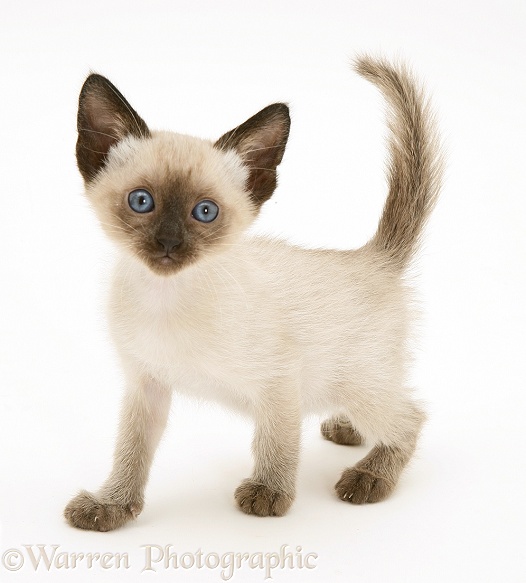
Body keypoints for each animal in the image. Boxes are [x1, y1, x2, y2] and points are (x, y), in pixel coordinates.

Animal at [64, 57, 444, 532]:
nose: (169, 243)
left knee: (410, 418)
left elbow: (276, 441)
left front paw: (269, 493)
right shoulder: (145, 385)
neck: (166, 298)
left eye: (205, 212)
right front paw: (111, 506)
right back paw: (347, 429)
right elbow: (129, 453)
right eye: (141, 202)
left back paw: (368, 477)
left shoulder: (278, 381)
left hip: (359, 381)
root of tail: (374, 256)